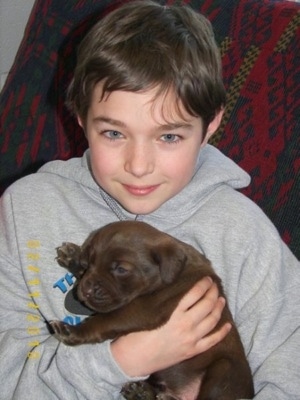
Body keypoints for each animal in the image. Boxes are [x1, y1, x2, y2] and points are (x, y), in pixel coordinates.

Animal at [51, 220, 253, 398]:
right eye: (89, 262)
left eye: (121, 269)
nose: (86, 290)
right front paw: (74, 257)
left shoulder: (144, 309)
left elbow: (103, 321)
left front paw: (71, 331)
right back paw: (141, 392)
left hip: (224, 370)